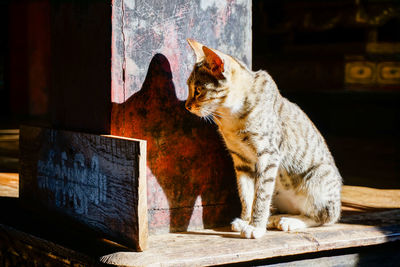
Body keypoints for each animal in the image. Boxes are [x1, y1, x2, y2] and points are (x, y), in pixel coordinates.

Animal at [186, 38, 342, 240]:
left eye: (198, 90)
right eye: (189, 87)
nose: (187, 106)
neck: (230, 118)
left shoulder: (268, 154)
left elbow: (260, 196)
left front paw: (255, 226)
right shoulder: (241, 161)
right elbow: (246, 194)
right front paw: (246, 220)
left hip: (317, 180)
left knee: (325, 216)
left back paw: (290, 221)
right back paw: (275, 218)